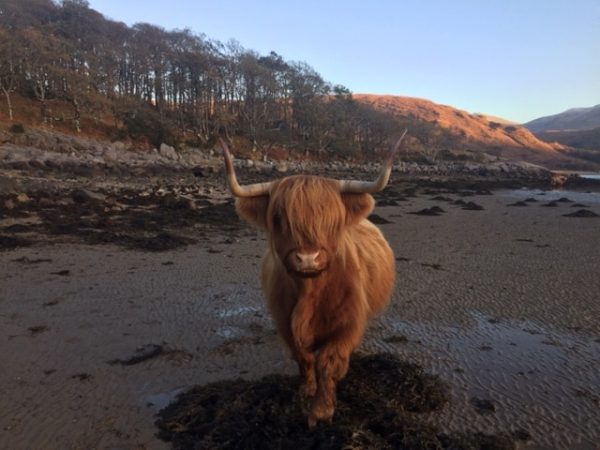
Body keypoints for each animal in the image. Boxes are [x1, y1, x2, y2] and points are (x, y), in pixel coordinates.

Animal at [219, 133, 404, 426]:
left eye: (333, 220)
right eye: (278, 218)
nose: (307, 258)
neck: (310, 291)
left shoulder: (347, 325)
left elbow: (328, 363)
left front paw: (321, 409)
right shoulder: (285, 323)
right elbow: (304, 359)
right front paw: (306, 391)